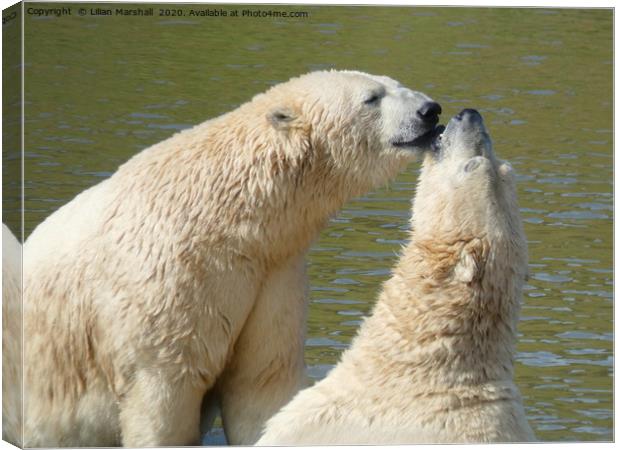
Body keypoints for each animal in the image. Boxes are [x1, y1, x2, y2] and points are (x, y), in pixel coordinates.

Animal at [20, 70, 446, 446]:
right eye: (372, 97)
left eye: (395, 83)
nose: (430, 110)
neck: (223, 220)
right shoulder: (166, 287)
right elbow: (165, 393)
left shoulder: (273, 273)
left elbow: (261, 382)